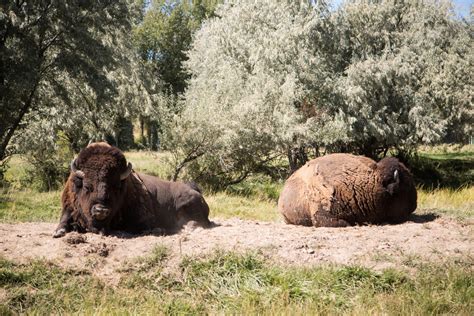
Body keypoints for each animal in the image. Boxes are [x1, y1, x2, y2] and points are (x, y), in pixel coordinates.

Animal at [52, 143, 211, 237]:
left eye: (116, 186)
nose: (101, 210)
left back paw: (188, 227)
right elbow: (64, 221)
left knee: (201, 222)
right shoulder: (68, 208)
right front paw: (59, 231)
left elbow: (141, 226)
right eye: (86, 186)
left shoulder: (143, 216)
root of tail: (196, 191)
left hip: (188, 204)